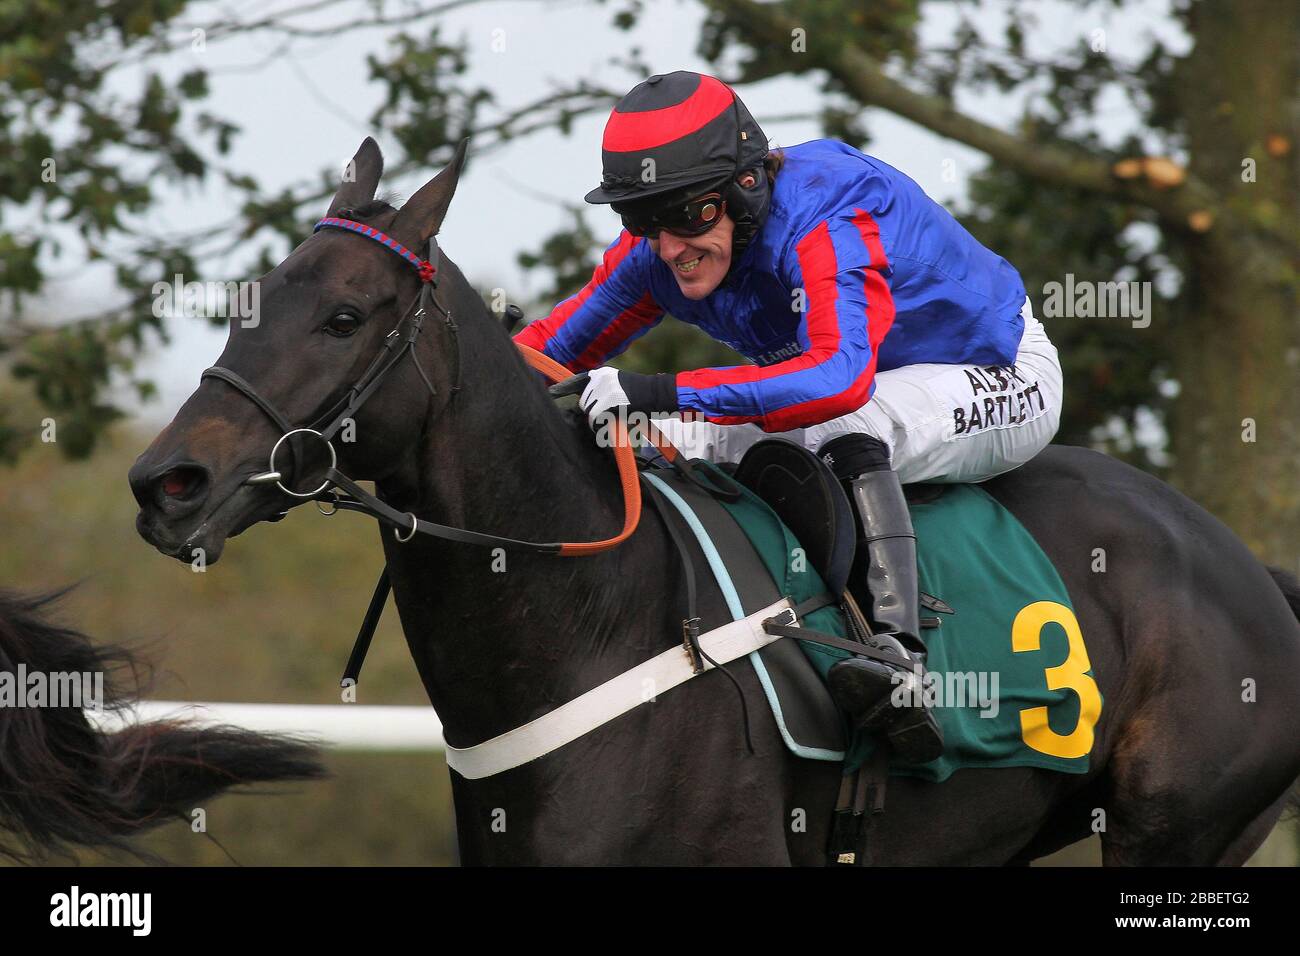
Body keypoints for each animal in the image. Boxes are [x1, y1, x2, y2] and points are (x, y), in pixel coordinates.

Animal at [124, 136, 1300, 868]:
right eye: (251, 301)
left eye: (343, 316)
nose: (165, 482)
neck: (596, 620)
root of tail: (1245, 566)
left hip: (1174, 823)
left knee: (858, 429)